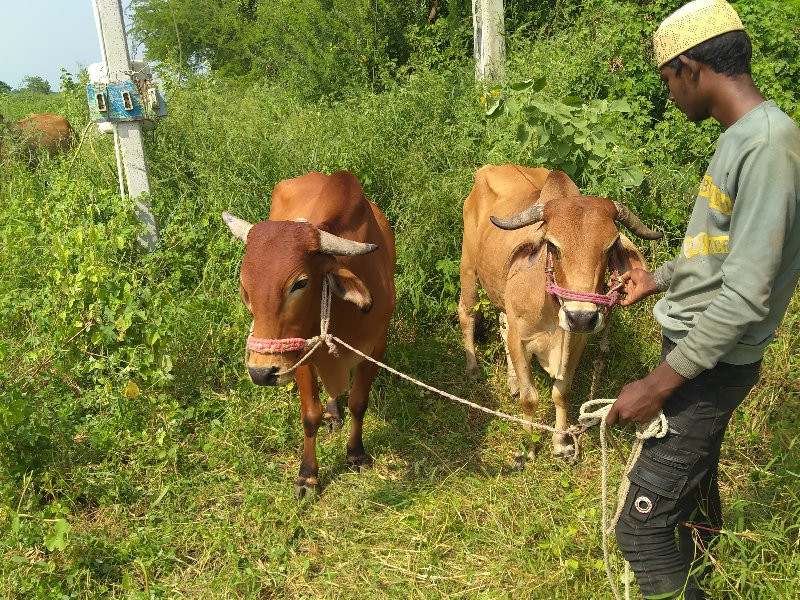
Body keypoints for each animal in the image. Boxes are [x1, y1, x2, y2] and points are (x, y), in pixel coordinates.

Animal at [222, 171, 396, 500]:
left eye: (300, 283)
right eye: (245, 289)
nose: (261, 373)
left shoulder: (376, 347)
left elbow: (359, 402)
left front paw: (356, 453)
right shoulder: (298, 357)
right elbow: (309, 416)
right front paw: (308, 476)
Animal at [460, 166, 660, 462]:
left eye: (609, 248)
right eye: (552, 246)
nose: (582, 317)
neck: (552, 314)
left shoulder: (576, 341)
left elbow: (561, 393)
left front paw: (561, 442)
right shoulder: (521, 340)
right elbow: (530, 398)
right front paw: (528, 447)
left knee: (502, 321)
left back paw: (512, 379)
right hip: (469, 270)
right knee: (467, 314)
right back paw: (473, 369)